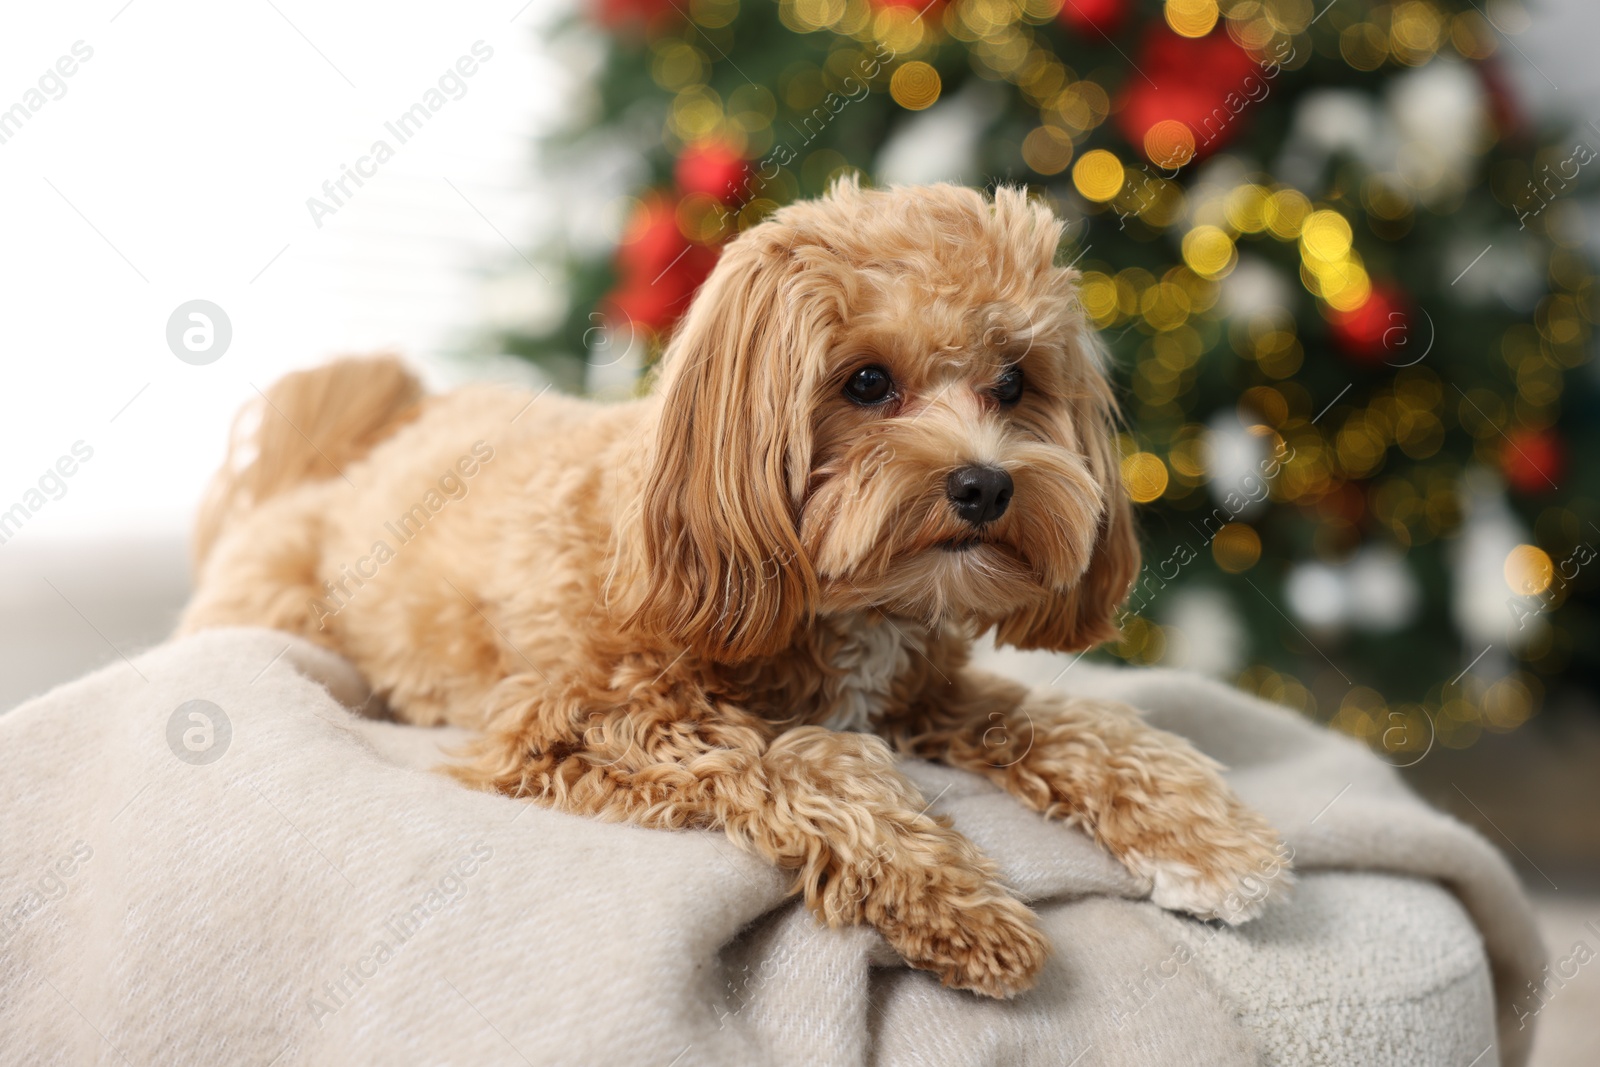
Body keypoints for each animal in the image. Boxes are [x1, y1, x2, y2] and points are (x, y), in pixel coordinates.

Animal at [181, 181, 1286, 991]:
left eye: (1015, 382)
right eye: (867, 381)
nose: (985, 484)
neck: (843, 603)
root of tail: (354, 452)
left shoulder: (927, 695)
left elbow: (1077, 725)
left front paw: (1206, 839)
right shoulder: (591, 717)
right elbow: (807, 760)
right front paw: (953, 898)